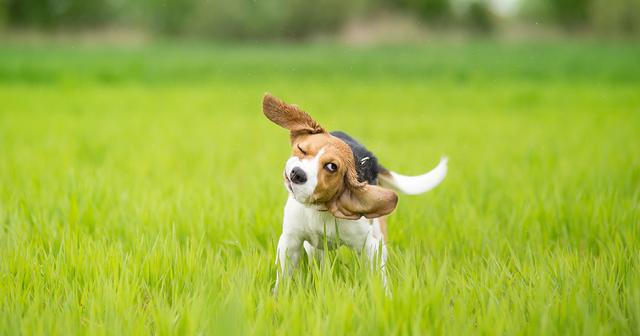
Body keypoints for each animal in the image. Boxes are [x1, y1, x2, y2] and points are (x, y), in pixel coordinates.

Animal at [262, 93, 448, 292]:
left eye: (331, 167)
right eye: (302, 149)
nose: (297, 174)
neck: (321, 209)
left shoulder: (370, 246)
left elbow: (378, 278)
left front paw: (385, 296)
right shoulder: (291, 241)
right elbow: (283, 277)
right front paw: (279, 296)